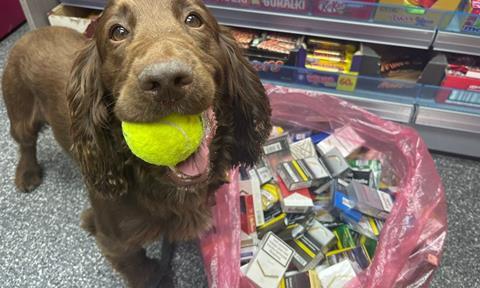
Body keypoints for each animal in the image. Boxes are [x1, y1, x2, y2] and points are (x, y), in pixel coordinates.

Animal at [0, 1, 270, 286]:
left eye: (194, 19)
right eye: (117, 31)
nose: (166, 81)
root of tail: (31, 33)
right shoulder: (115, 242)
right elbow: (139, 269)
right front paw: (157, 276)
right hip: (20, 111)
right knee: (25, 144)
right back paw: (27, 173)